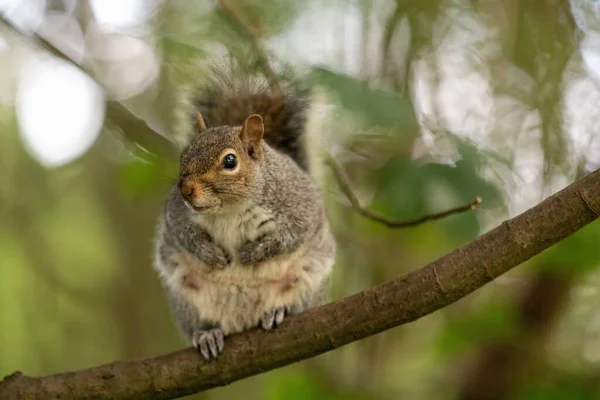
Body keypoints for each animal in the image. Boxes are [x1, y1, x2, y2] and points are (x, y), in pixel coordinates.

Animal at [152, 61, 336, 360]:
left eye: (230, 161)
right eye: (184, 154)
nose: (186, 190)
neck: (229, 209)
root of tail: (242, 320)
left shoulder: (300, 206)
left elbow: (288, 237)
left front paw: (252, 253)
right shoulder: (176, 213)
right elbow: (184, 234)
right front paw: (210, 253)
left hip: (306, 283)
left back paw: (277, 311)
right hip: (185, 299)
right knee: (202, 323)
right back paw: (207, 334)